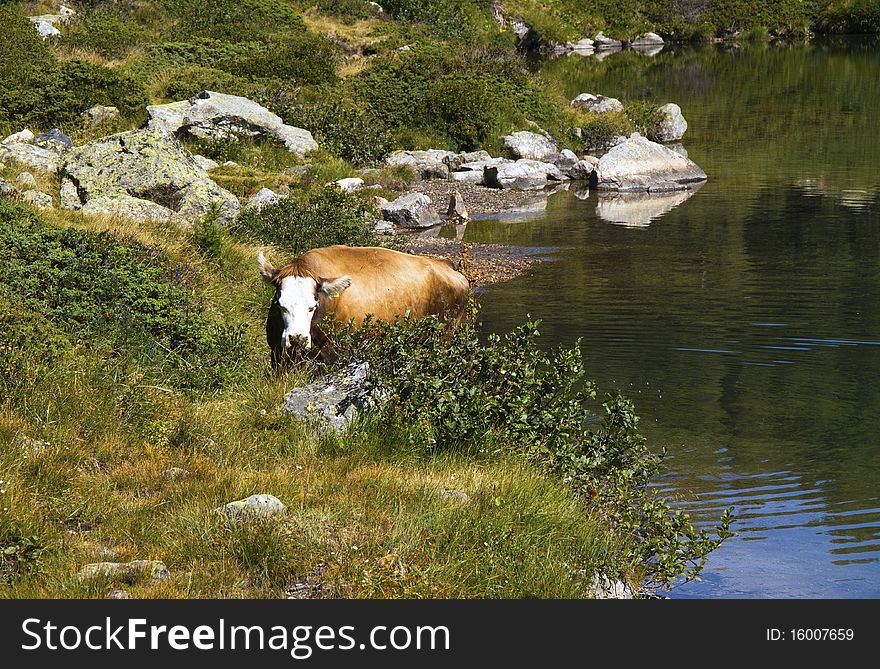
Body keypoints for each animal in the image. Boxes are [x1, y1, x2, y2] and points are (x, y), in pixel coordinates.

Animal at [258, 244, 470, 362]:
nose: (297, 339)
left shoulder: (335, 354)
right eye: (280, 304)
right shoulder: (277, 354)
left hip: (447, 335)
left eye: (313, 306)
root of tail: (446, 264)